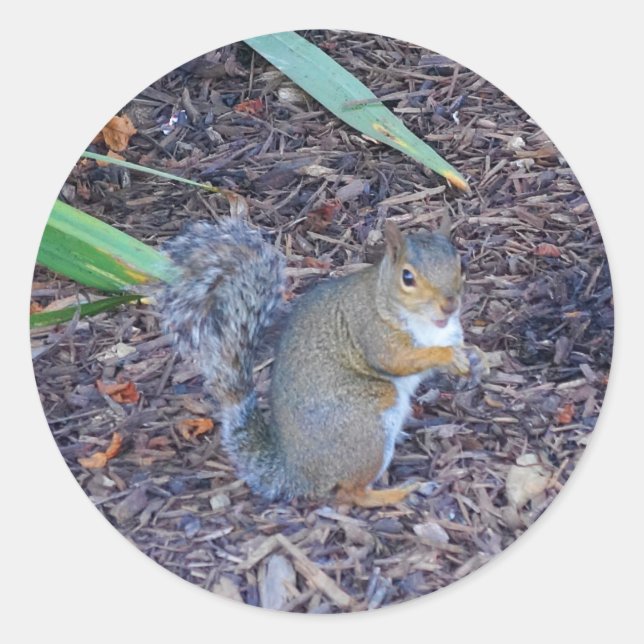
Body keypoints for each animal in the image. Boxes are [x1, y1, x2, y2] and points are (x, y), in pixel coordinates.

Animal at [160, 215, 487, 507]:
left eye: (462, 265)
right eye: (408, 277)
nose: (449, 305)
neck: (429, 324)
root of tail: (296, 472)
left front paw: (477, 358)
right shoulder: (372, 330)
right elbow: (398, 360)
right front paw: (446, 356)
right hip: (365, 423)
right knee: (350, 494)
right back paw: (397, 493)